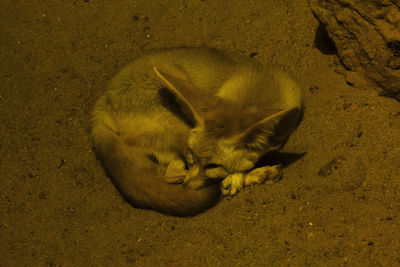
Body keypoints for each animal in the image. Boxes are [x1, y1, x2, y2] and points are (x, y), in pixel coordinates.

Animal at [91, 47, 304, 216]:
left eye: (212, 166)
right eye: (191, 156)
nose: (186, 188)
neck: (258, 91)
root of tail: (100, 105)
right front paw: (238, 176)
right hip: (179, 120)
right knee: (169, 175)